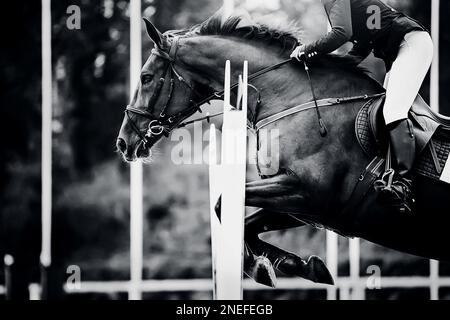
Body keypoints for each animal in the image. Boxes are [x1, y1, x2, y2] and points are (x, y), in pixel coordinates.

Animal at [117, 13, 450, 288]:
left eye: (146, 77)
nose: (123, 142)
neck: (294, 98)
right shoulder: (305, 206)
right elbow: (244, 221)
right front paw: (295, 266)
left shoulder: (308, 192)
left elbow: (224, 205)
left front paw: (264, 267)